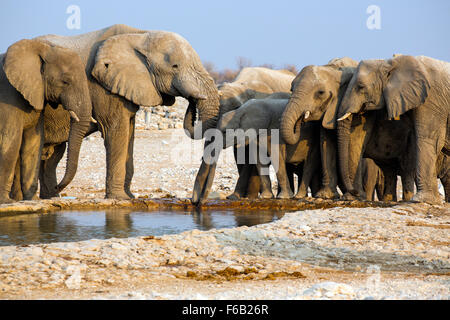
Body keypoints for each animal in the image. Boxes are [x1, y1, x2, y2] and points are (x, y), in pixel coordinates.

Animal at [0, 38, 92, 204]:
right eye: (65, 81)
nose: (57, 188)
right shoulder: (8, 99)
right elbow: (11, 141)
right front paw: (6, 201)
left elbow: (33, 143)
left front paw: (32, 200)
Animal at [32, 25, 219, 199]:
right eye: (175, 66)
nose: (192, 101)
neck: (139, 35)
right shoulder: (103, 85)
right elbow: (116, 130)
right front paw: (119, 198)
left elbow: (129, 133)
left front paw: (129, 197)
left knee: (52, 155)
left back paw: (50, 196)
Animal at [190, 67, 296, 205]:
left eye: (236, 107)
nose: (196, 202)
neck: (241, 84)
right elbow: (239, 155)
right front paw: (238, 197)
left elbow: (249, 157)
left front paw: (243, 197)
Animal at [338, 55, 450, 204]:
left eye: (360, 87)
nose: (354, 192)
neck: (391, 63)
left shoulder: (432, 100)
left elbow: (429, 139)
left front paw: (421, 200)